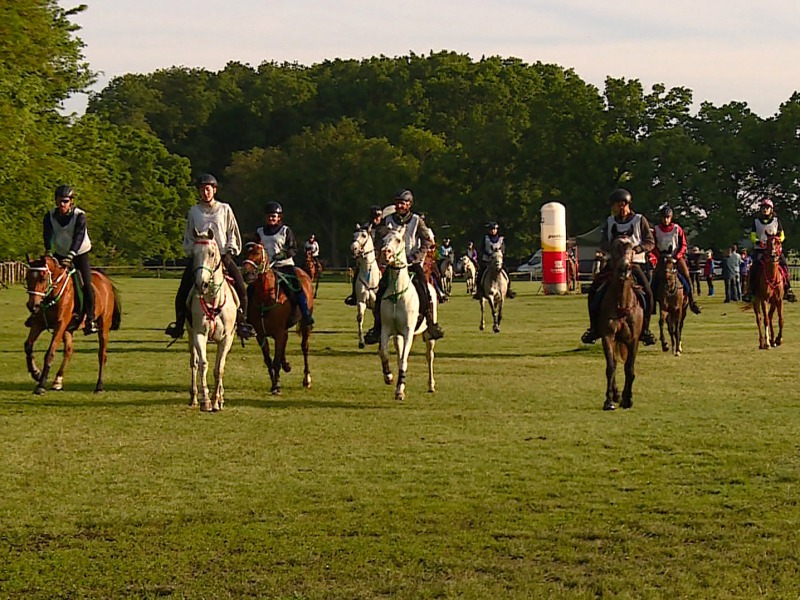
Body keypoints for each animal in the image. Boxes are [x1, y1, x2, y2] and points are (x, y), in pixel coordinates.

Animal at [23, 255, 121, 396]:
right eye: (27, 277)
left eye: (42, 278)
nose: (32, 305)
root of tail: (105, 280)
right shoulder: (39, 323)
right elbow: (28, 346)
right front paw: (36, 372)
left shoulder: (60, 325)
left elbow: (50, 352)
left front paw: (41, 385)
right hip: (68, 330)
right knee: (69, 351)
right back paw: (57, 381)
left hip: (103, 327)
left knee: (102, 355)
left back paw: (99, 386)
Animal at [186, 227, 239, 410]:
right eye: (193, 253)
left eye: (211, 253)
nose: (201, 284)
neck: (213, 300)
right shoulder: (199, 334)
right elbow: (203, 364)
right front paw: (207, 401)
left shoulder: (227, 338)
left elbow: (219, 368)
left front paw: (217, 400)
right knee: (194, 363)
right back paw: (195, 397)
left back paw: (221, 396)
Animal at [241, 241, 312, 396]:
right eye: (245, 253)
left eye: (257, 253)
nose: (246, 273)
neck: (266, 297)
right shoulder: (261, 335)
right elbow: (269, 359)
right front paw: (274, 382)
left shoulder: (278, 332)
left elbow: (276, 360)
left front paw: (277, 385)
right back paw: (287, 365)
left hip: (305, 323)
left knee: (304, 347)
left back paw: (307, 379)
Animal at [376, 227, 434, 400]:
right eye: (384, 240)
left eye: (398, 240)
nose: (385, 253)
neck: (397, 293)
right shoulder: (387, 329)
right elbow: (384, 352)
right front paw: (388, 376)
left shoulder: (408, 332)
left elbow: (403, 360)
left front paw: (400, 390)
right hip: (398, 336)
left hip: (428, 335)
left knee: (429, 356)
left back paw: (431, 385)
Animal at [596, 237, 648, 410]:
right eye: (614, 248)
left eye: (631, 248)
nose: (625, 268)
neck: (622, 305)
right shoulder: (608, 336)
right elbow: (611, 366)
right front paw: (609, 400)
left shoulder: (633, 339)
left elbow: (629, 368)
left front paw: (628, 398)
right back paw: (615, 394)